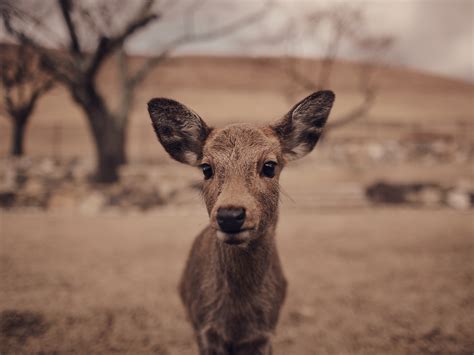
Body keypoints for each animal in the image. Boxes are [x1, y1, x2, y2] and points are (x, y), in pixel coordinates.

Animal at [146, 90, 336, 354]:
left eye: (269, 165)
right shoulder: (205, 330)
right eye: (206, 168)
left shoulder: (266, 334)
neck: (237, 321)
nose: (230, 215)